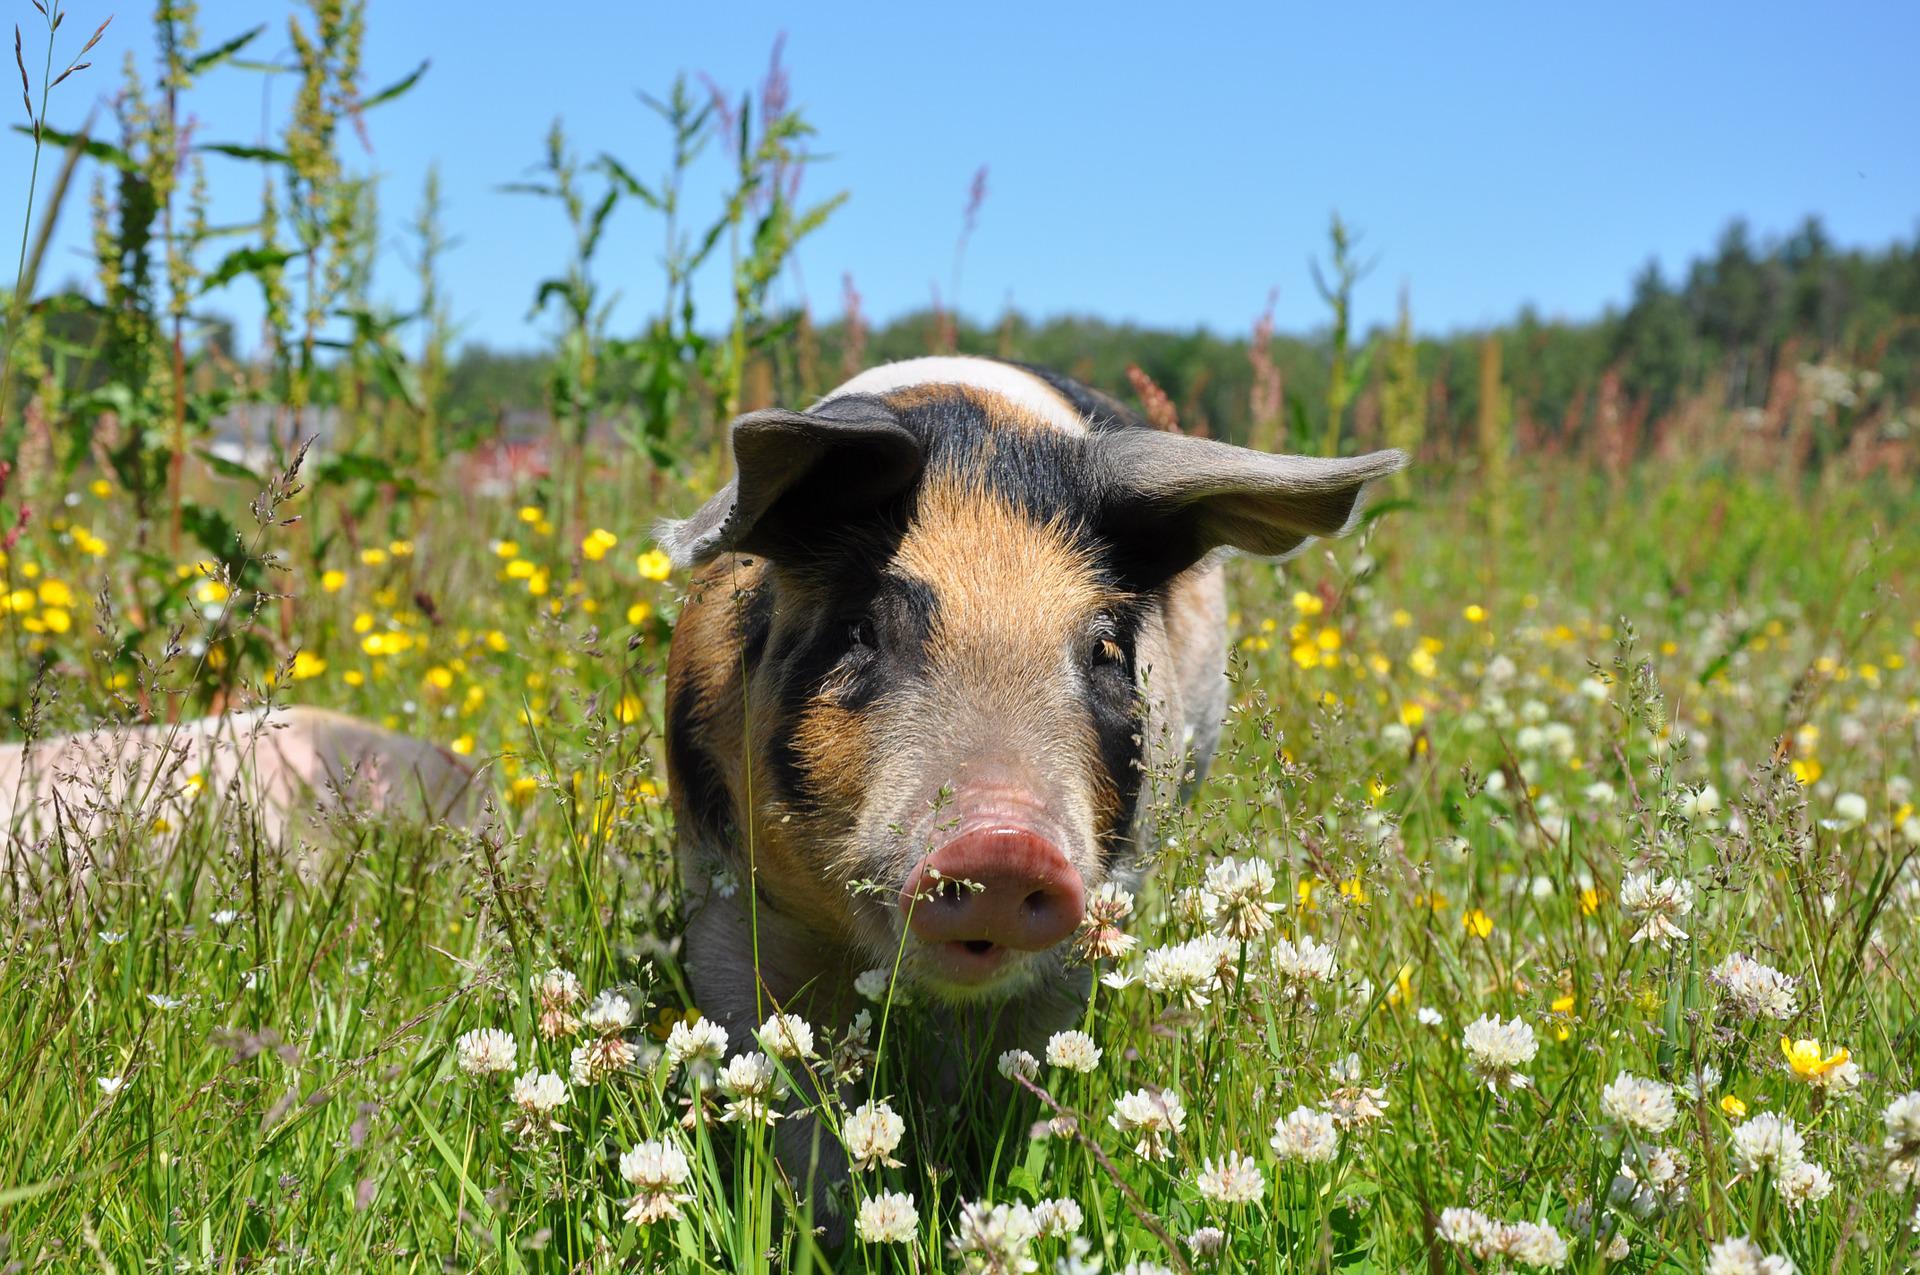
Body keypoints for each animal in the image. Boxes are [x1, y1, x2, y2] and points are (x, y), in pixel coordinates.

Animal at [660, 356, 1402, 1192]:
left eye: (1106, 649)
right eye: (860, 628)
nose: (1006, 843)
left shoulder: (1096, 910)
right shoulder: (722, 889)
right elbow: (787, 1089)